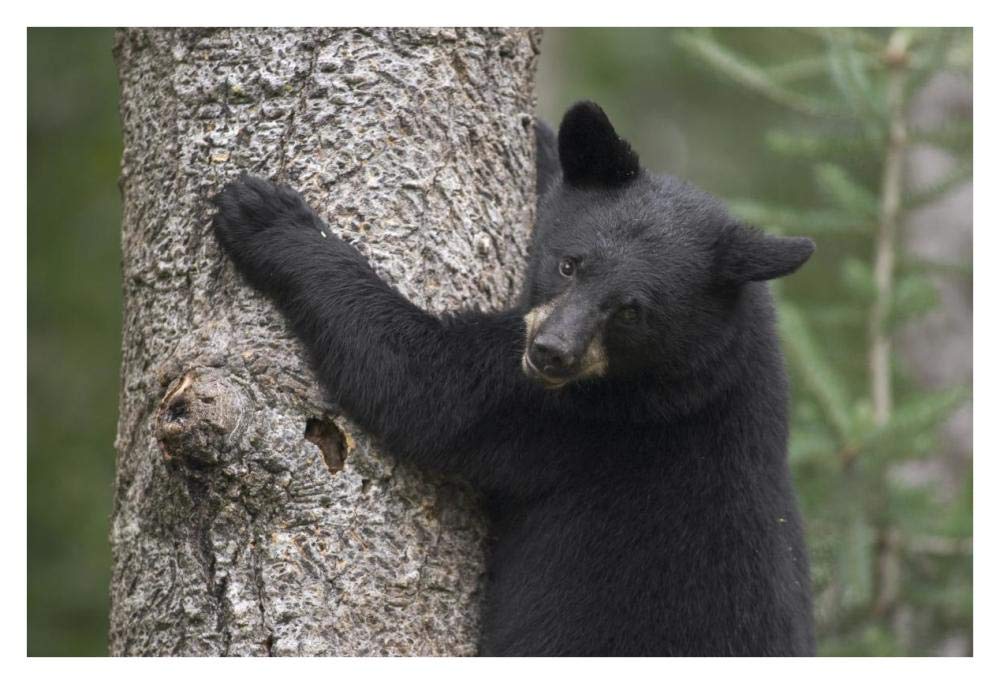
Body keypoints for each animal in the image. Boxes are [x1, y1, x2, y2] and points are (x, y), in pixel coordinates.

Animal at [212, 101, 816, 656]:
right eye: (570, 263)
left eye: (631, 311)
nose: (551, 353)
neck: (711, 358)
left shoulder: (588, 416)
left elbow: (424, 387)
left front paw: (269, 218)